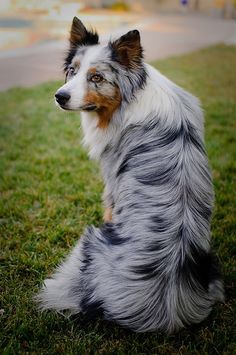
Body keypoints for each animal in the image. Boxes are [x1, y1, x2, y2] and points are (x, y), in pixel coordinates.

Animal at [36, 16, 223, 334]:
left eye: (97, 78)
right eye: (72, 71)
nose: (59, 96)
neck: (131, 98)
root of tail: (164, 313)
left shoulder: (112, 183)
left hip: (89, 239)